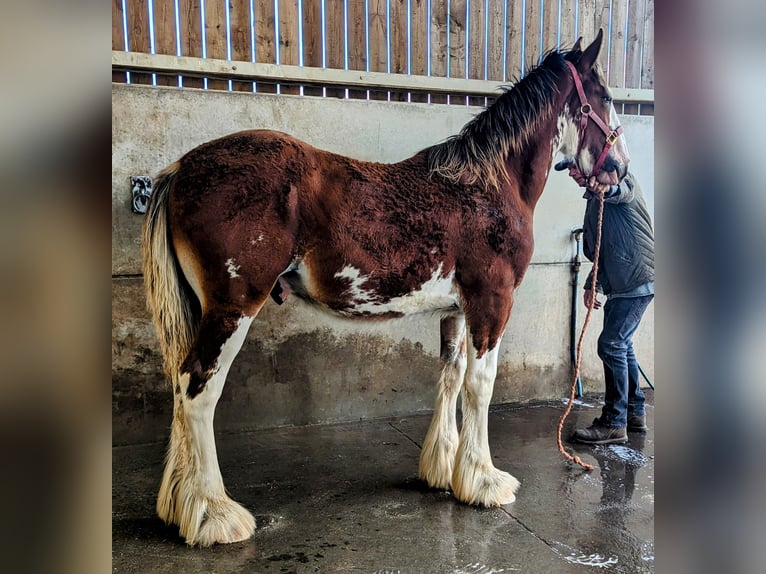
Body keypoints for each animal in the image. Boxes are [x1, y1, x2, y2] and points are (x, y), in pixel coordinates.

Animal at [142, 30, 632, 548]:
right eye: (606, 97)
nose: (620, 170)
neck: (487, 185)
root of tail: (181, 168)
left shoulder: (457, 309)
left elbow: (451, 376)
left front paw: (443, 471)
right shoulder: (492, 302)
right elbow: (480, 386)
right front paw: (484, 482)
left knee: (181, 389)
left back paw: (180, 506)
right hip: (232, 308)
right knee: (198, 390)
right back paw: (214, 515)